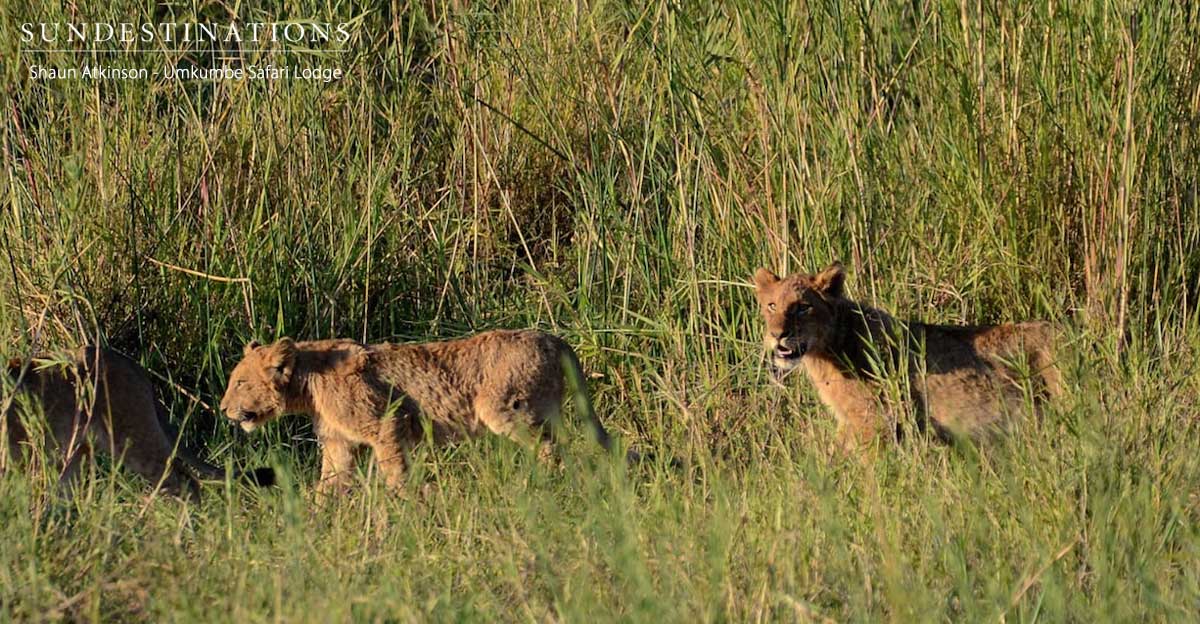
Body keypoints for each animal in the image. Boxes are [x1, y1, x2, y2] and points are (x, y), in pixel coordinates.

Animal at [219, 330, 619, 495]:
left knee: (550, 450)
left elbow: (395, 472)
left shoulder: (387, 423)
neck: (307, 384)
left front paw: (407, 505)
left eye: (240, 382)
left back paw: (540, 487)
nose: (222, 409)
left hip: (505, 409)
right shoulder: (338, 445)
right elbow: (327, 486)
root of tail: (554, 339)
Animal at [753, 262, 1064, 448]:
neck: (824, 354)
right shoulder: (851, 423)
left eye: (803, 307)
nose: (777, 335)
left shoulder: (875, 422)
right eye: (771, 305)